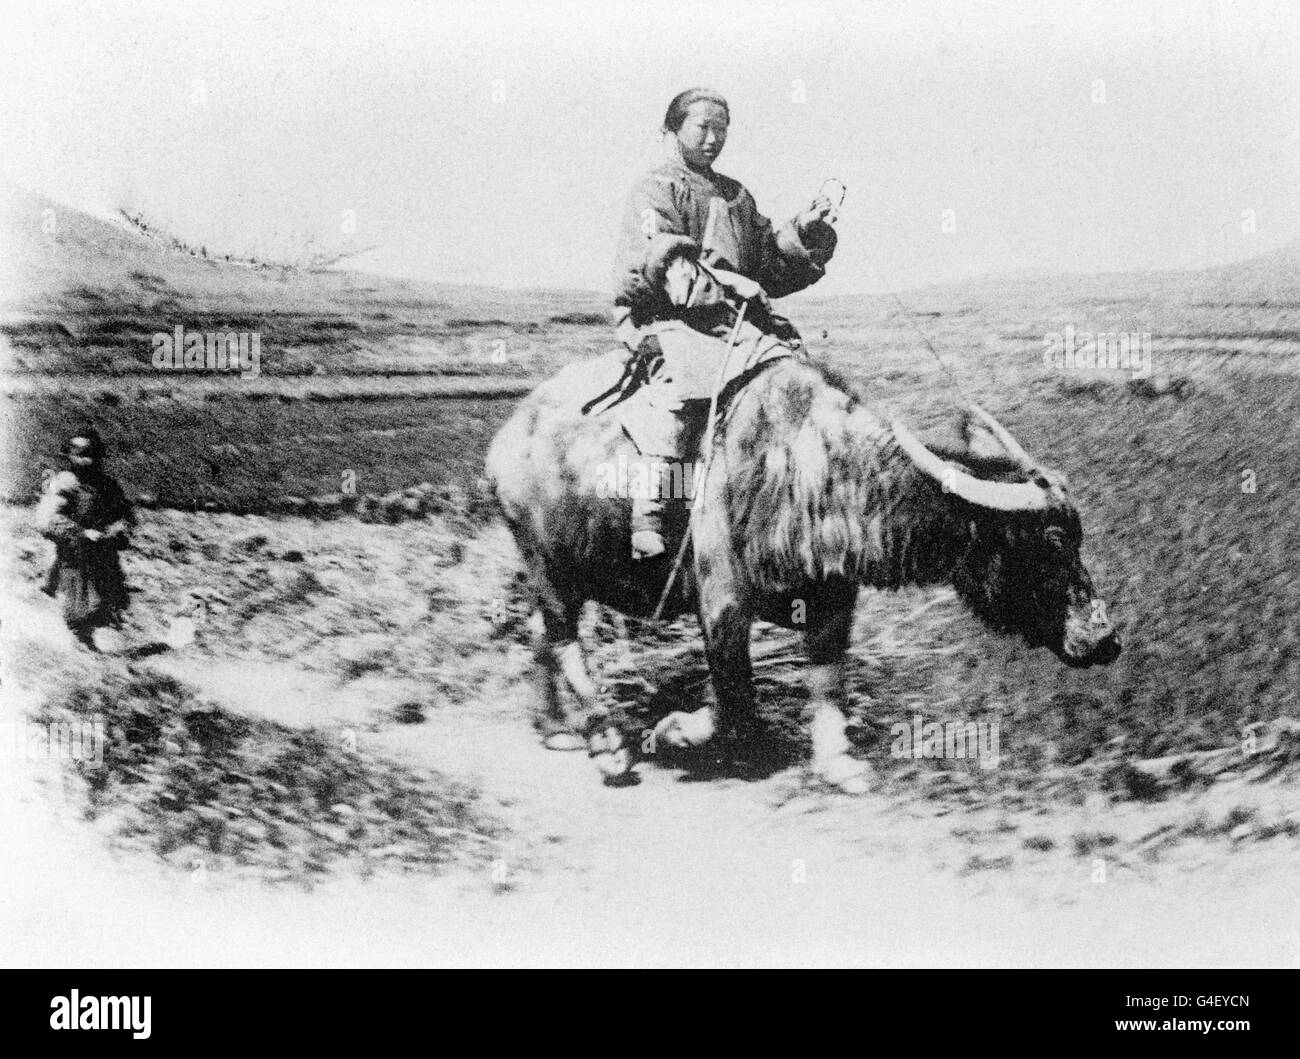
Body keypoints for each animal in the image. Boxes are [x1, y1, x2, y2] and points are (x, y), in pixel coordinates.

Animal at [488, 350, 1118, 790]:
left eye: (1078, 535)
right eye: (1052, 542)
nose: (1105, 640)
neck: (812, 469)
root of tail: (505, 443)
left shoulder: (833, 600)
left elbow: (826, 681)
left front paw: (839, 763)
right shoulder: (721, 605)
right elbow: (736, 705)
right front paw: (675, 731)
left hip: (563, 575)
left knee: (541, 634)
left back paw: (556, 729)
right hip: (548, 566)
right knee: (565, 641)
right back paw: (606, 743)